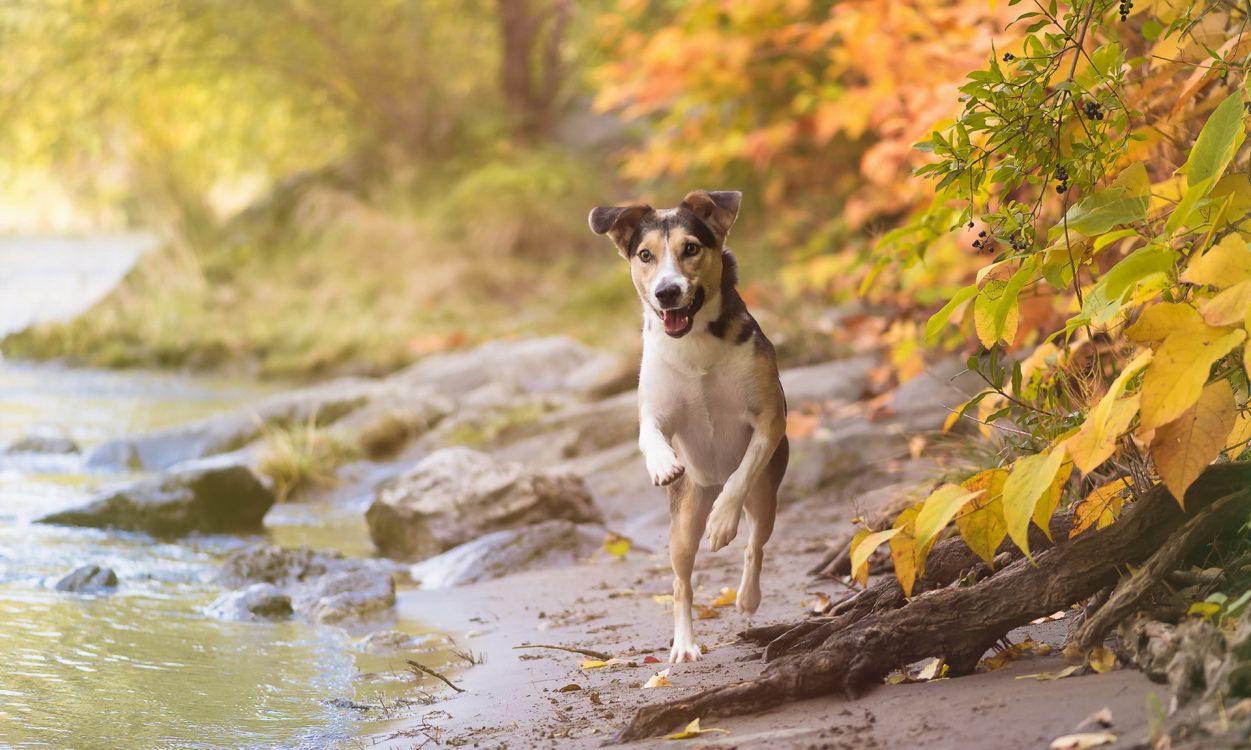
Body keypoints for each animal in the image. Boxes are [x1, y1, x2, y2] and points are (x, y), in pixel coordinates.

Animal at [582, 188, 780, 660]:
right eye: (645, 255)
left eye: (690, 248)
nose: (667, 292)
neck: (693, 341)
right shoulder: (654, 409)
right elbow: (649, 433)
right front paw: (662, 464)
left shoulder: (770, 418)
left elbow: (743, 471)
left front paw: (722, 522)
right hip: (684, 520)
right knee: (681, 581)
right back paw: (686, 645)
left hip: (766, 496)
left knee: (755, 542)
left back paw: (747, 596)